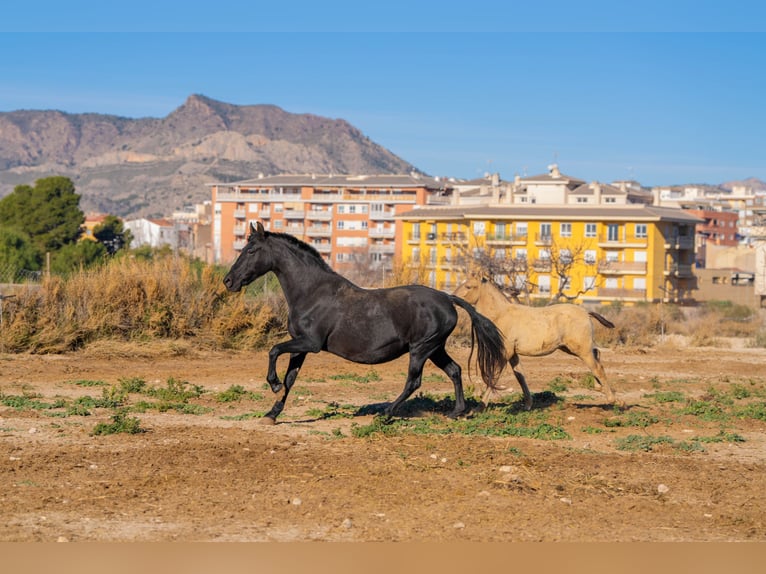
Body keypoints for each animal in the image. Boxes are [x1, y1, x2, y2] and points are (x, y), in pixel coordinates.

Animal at [223, 222, 507, 423]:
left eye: (251, 250)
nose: (228, 281)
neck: (312, 292)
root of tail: (447, 298)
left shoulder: (309, 343)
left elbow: (273, 351)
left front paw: (273, 384)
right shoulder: (300, 346)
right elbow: (291, 378)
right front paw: (272, 413)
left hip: (421, 348)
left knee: (414, 381)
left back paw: (387, 412)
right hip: (435, 348)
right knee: (454, 370)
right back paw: (457, 412)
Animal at [453, 276, 618, 410]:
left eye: (469, 286)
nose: (453, 298)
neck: (501, 314)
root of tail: (586, 313)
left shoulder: (505, 351)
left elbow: (494, 375)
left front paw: (480, 407)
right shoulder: (513, 354)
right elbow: (520, 375)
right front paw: (528, 405)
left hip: (580, 349)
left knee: (597, 367)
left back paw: (613, 400)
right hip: (570, 348)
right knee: (596, 354)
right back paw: (599, 388)